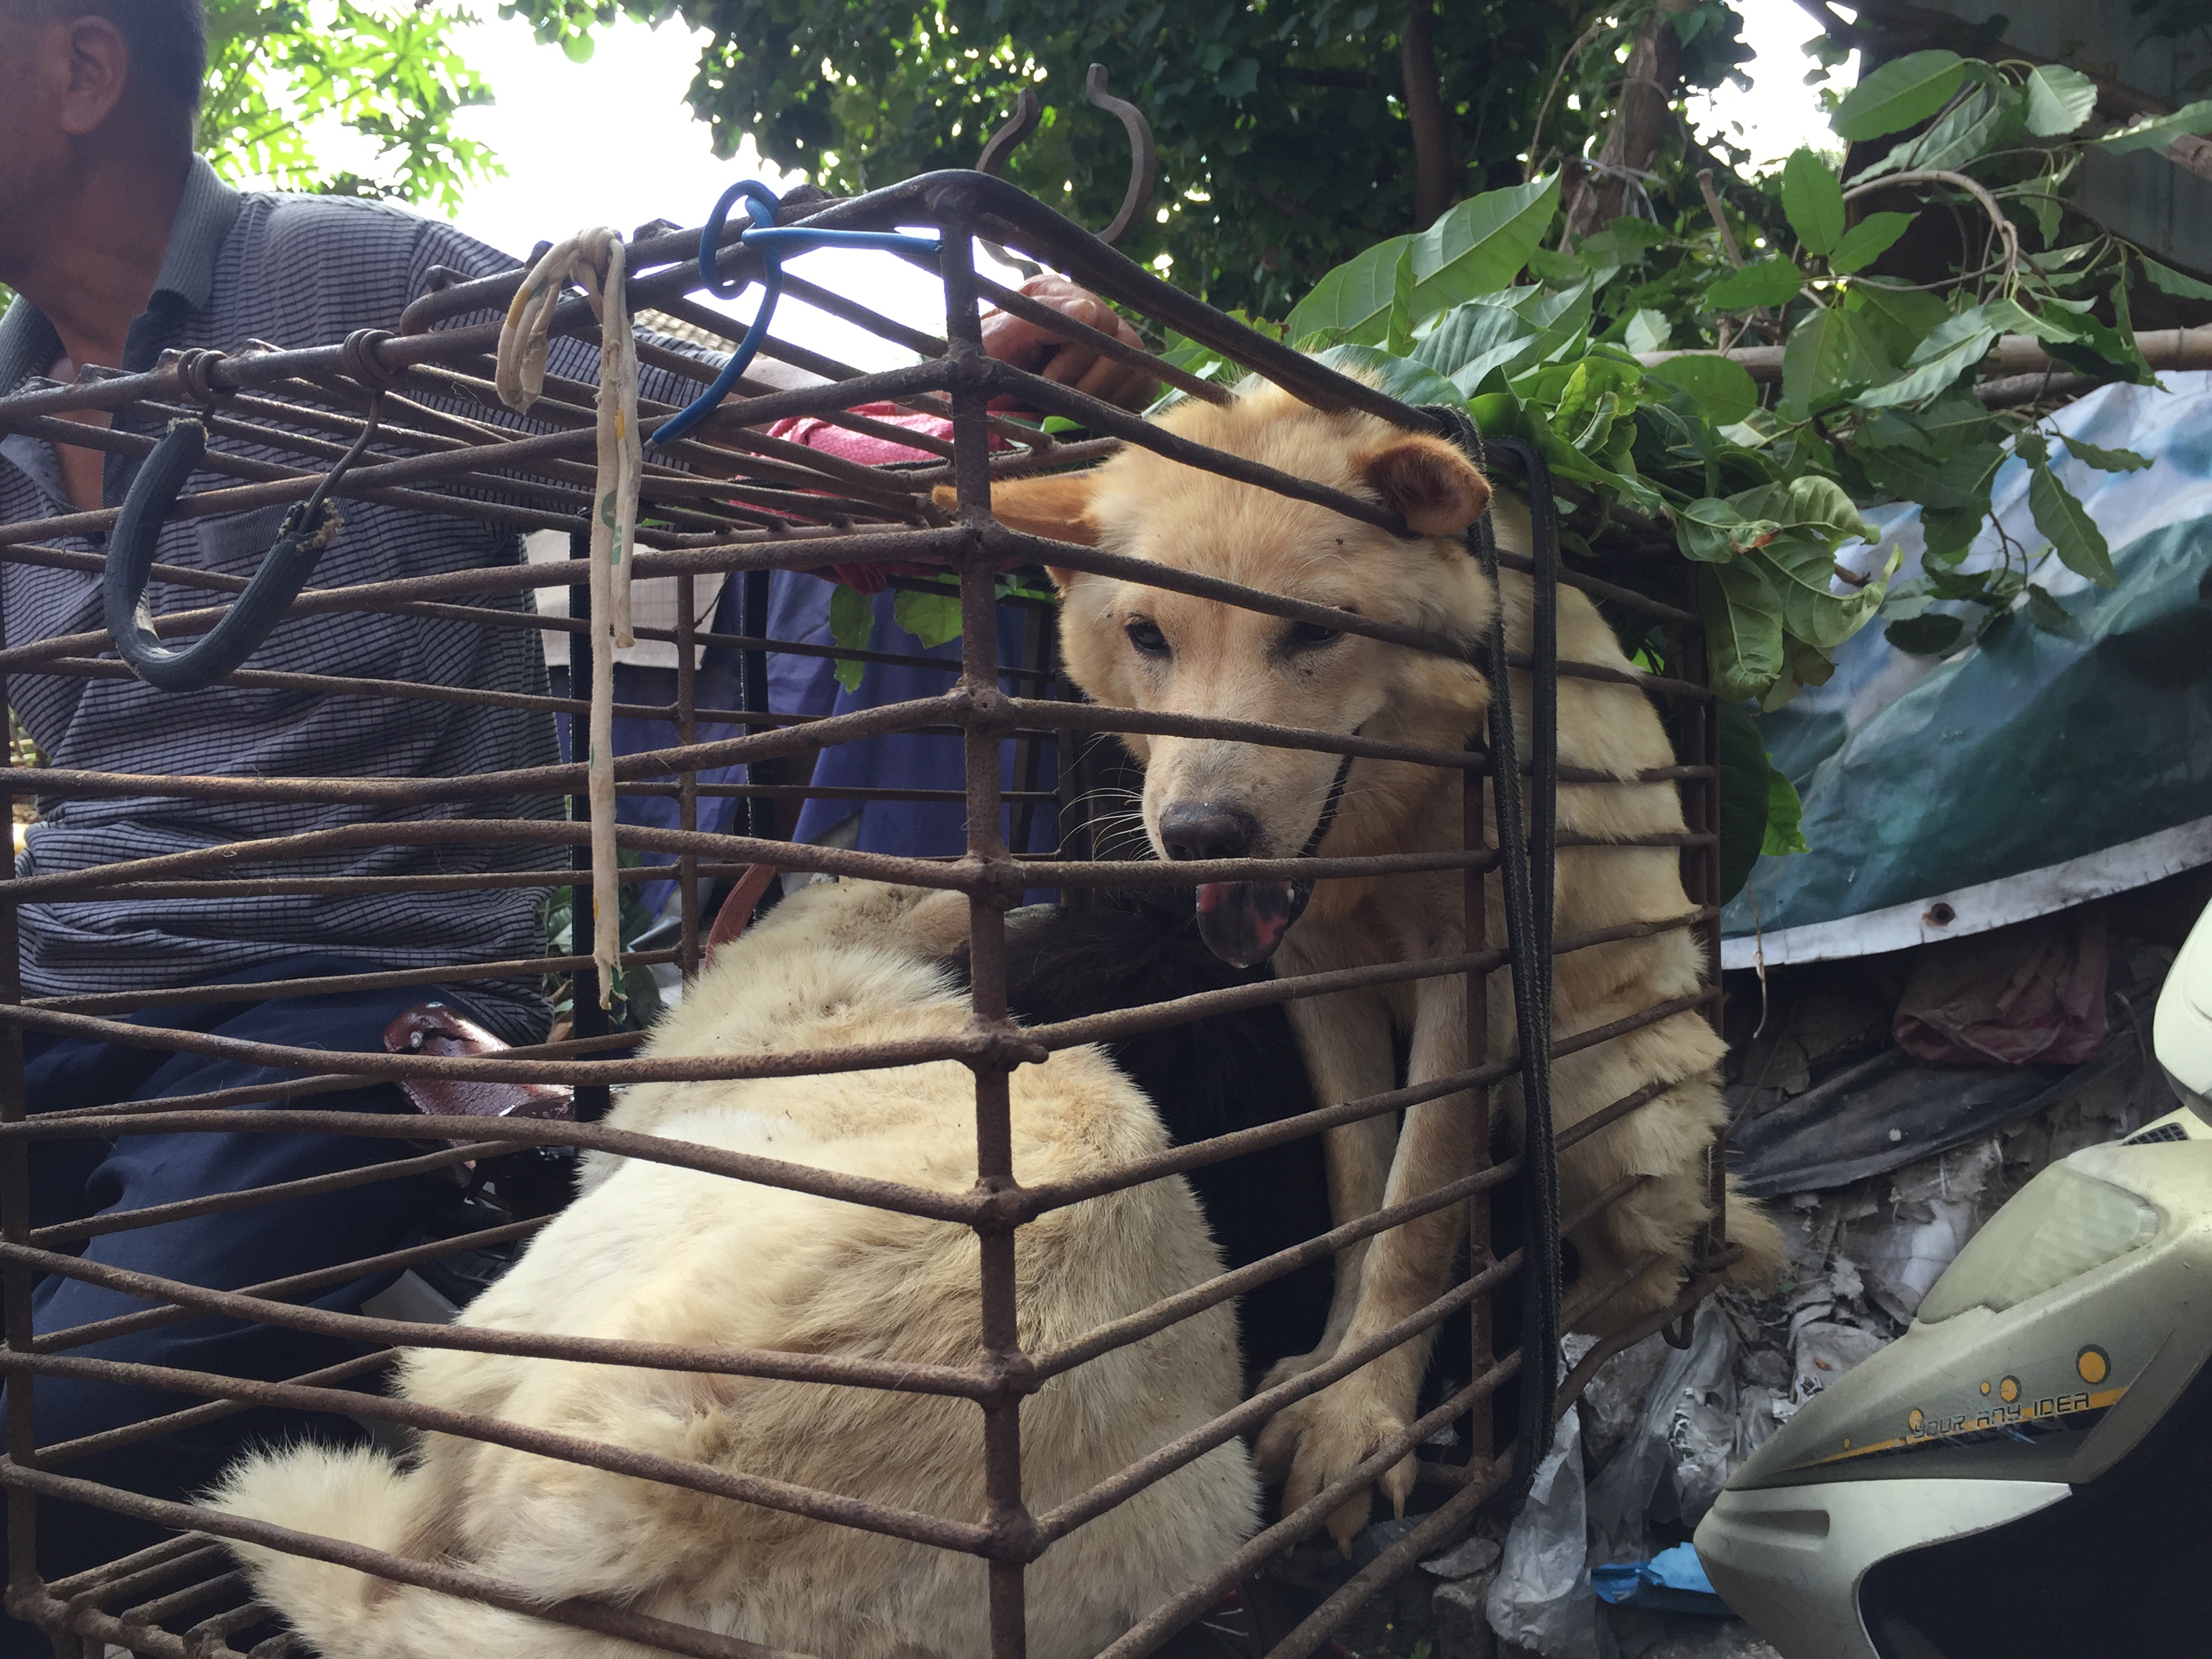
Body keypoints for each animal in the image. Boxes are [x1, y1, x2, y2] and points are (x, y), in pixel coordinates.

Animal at [968, 375, 1778, 1548]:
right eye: (1147, 634)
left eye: (1315, 630)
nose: (1201, 836)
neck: (1392, 831)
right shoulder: (1318, 986)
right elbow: (1364, 1195)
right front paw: (1328, 1370)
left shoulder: (1471, 986)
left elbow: (1421, 1211)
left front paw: (1368, 1411)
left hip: (1588, 1086)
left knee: (1650, 1272)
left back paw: (1511, 1356)